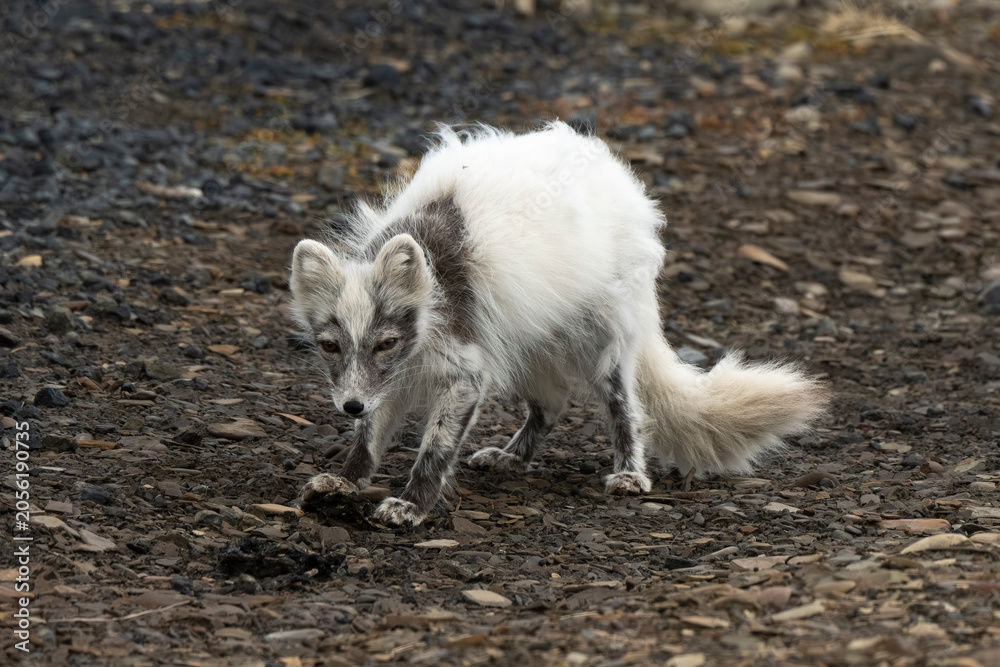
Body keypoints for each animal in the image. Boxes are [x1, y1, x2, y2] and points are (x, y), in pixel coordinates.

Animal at [289, 122, 827, 527]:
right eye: (330, 346)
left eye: (386, 342)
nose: (349, 406)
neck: (435, 281)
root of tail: (617, 174)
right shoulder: (388, 383)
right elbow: (368, 437)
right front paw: (346, 481)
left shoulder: (465, 372)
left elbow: (436, 447)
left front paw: (411, 505)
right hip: (524, 342)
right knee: (553, 404)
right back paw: (512, 458)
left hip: (602, 342)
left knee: (625, 407)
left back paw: (630, 474)